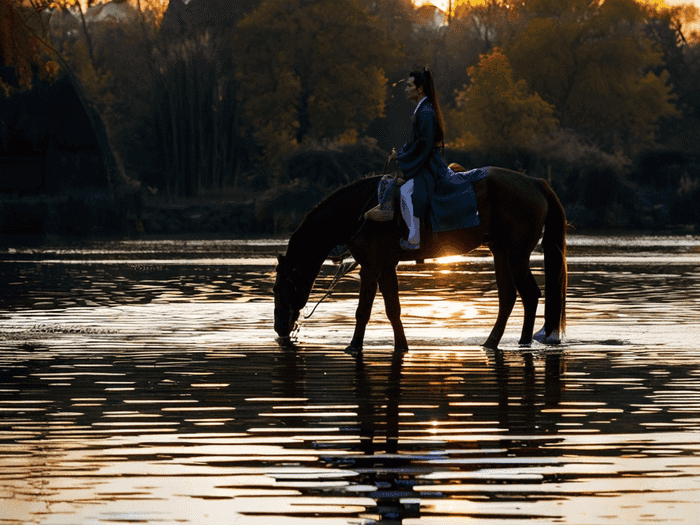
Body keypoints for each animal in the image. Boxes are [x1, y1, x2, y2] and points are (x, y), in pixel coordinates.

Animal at [274, 166, 568, 350]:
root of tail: (534, 183)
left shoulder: (370, 267)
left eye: (280, 288)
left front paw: (354, 346)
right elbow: (392, 310)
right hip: (501, 252)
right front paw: (401, 345)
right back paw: (492, 341)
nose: (279, 328)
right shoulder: (384, 267)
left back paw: (522, 342)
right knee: (509, 298)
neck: (359, 213)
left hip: (517, 254)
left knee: (530, 295)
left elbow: (363, 311)